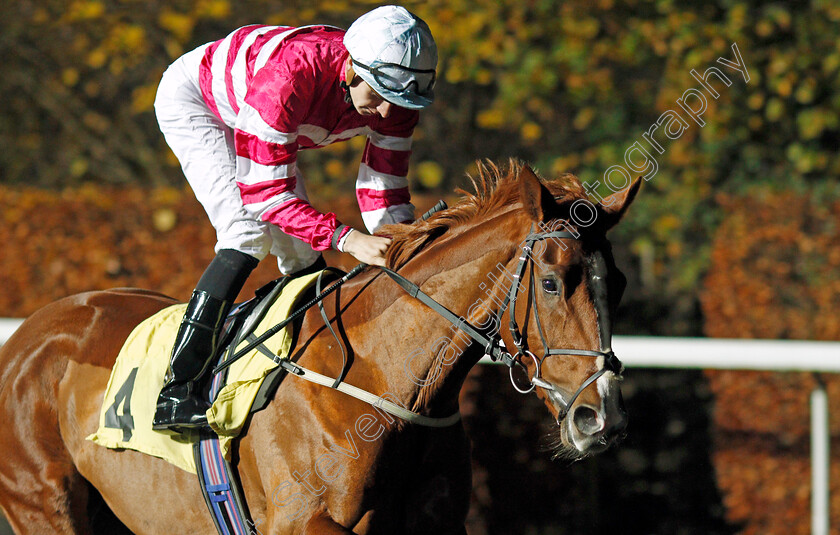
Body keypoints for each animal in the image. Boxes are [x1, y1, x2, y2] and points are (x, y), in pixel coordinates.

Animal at [0, 161, 636, 532]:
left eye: (620, 283)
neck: (385, 382)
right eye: (552, 282)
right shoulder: (301, 520)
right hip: (44, 503)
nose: (600, 418)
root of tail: (28, 335)